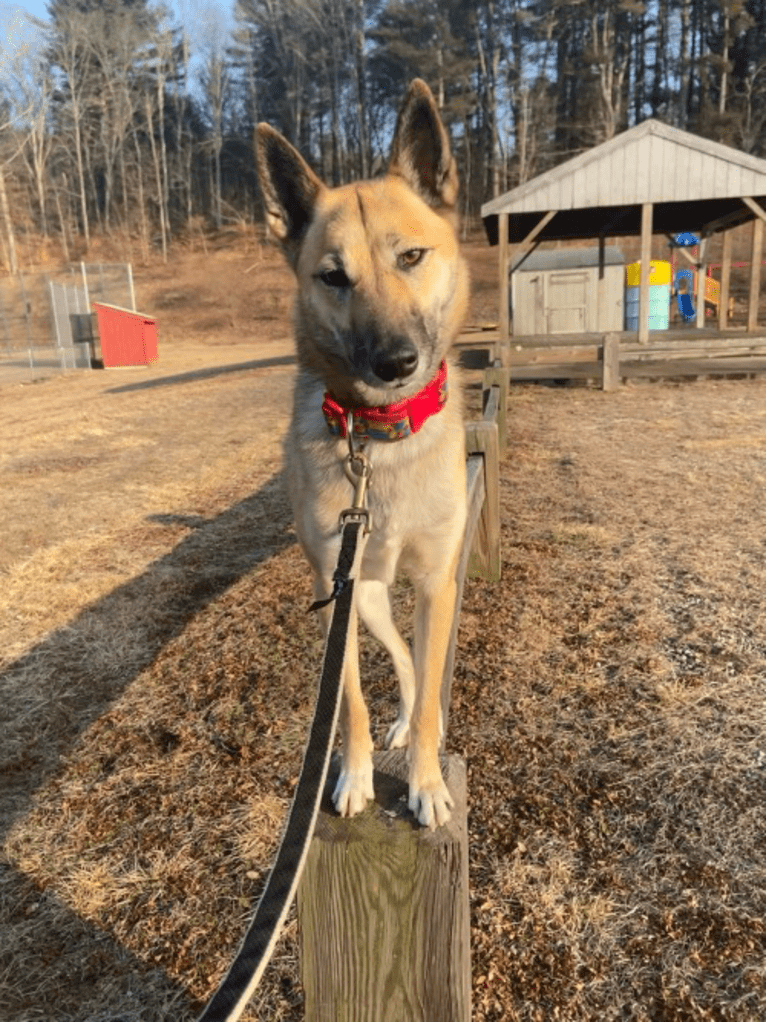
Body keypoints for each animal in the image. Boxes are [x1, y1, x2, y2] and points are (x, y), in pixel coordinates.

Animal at [258, 77, 471, 829]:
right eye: (333, 277)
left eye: (411, 257)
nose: (395, 362)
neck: (380, 440)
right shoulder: (335, 595)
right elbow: (346, 704)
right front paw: (353, 777)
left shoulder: (437, 582)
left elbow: (433, 695)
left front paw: (428, 783)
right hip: (370, 601)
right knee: (403, 658)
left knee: (419, 673)